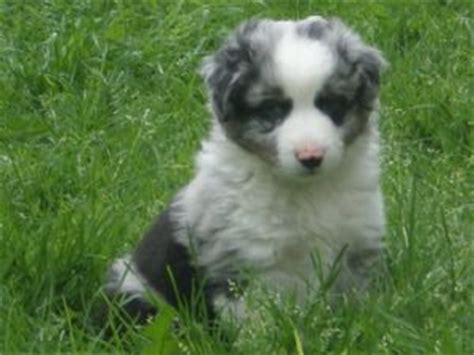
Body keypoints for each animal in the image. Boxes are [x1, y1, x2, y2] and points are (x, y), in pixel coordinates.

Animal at [103, 15, 386, 326]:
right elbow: (259, 324)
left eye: (332, 104)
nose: (311, 157)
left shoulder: (356, 248)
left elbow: (357, 305)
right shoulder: (244, 264)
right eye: (272, 110)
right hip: (135, 292)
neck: (305, 191)